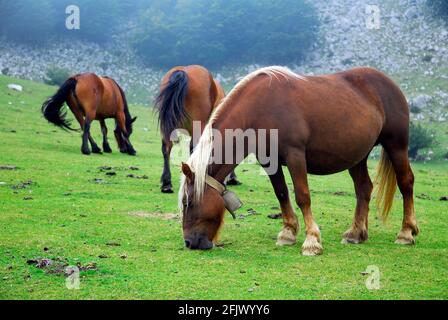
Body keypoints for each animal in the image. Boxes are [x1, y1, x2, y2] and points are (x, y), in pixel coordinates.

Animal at [179, 65, 420, 255]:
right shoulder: (269, 161)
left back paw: (406, 232)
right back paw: (356, 233)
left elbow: (303, 196)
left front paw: (312, 240)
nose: (190, 242)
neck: (261, 107)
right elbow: (282, 193)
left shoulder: (295, 155)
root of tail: (389, 84)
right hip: (358, 156)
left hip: (396, 145)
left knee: (406, 182)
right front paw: (288, 233)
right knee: (364, 189)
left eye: (188, 203)